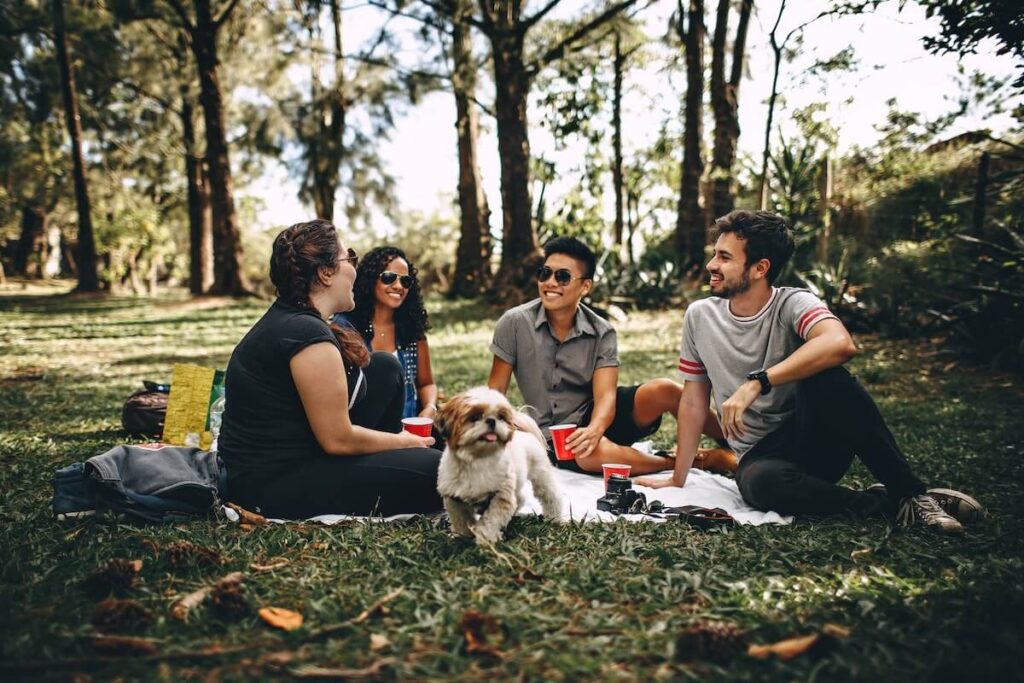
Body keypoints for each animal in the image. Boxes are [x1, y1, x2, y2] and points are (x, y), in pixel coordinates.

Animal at [434, 387, 565, 548]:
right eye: (474, 417)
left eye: (501, 417)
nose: (491, 420)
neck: (477, 460)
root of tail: (524, 432)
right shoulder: (453, 498)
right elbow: (460, 519)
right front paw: (462, 536)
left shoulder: (501, 495)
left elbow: (491, 520)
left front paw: (486, 539)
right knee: (520, 498)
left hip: (540, 475)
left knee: (551, 496)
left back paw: (554, 518)